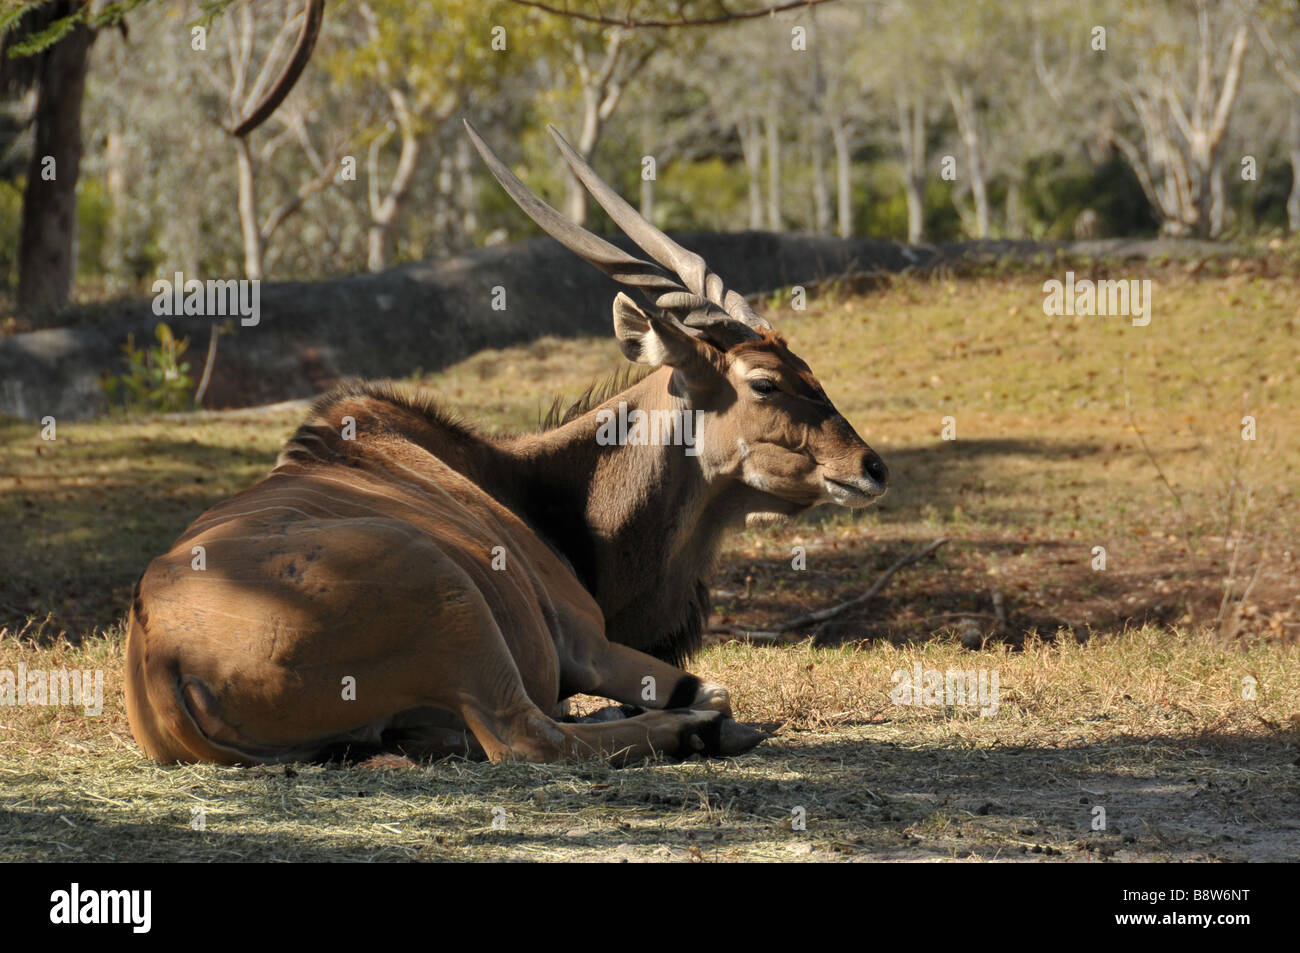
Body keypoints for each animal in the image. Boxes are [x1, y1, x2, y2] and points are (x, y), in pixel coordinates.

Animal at [124, 120, 894, 764]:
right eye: (765, 382)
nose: (871, 468)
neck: (525, 482)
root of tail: (164, 658)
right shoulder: (588, 644)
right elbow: (710, 690)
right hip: (457, 609)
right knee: (529, 738)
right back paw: (689, 733)